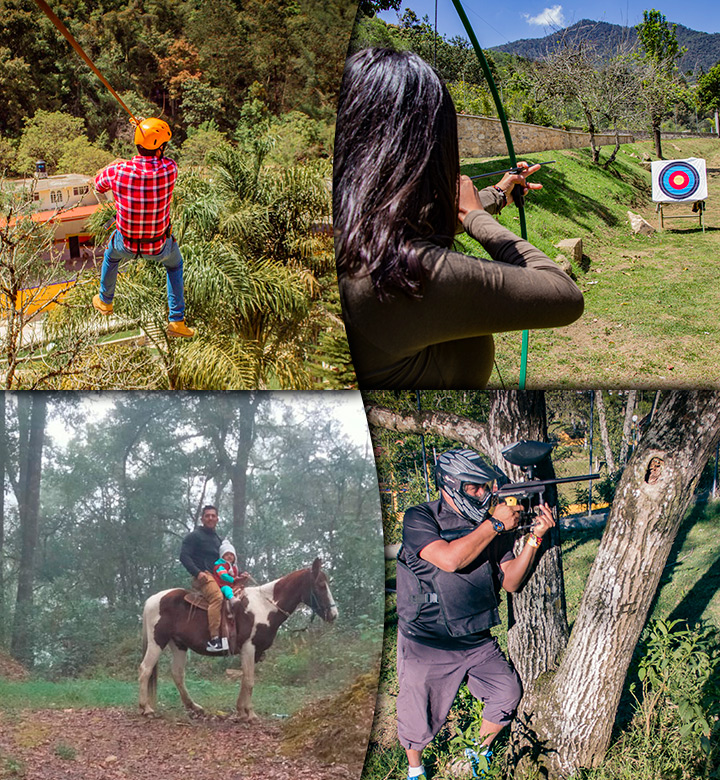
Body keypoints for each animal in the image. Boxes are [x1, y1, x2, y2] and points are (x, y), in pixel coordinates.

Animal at [140, 560, 338, 720]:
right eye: (321, 585)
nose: (334, 614)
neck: (265, 607)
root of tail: (151, 600)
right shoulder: (249, 647)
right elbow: (249, 680)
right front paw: (250, 714)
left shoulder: (254, 652)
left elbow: (245, 679)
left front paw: (241, 711)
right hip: (157, 641)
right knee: (145, 669)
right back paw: (146, 709)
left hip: (178, 644)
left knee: (177, 673)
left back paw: (194, 707)